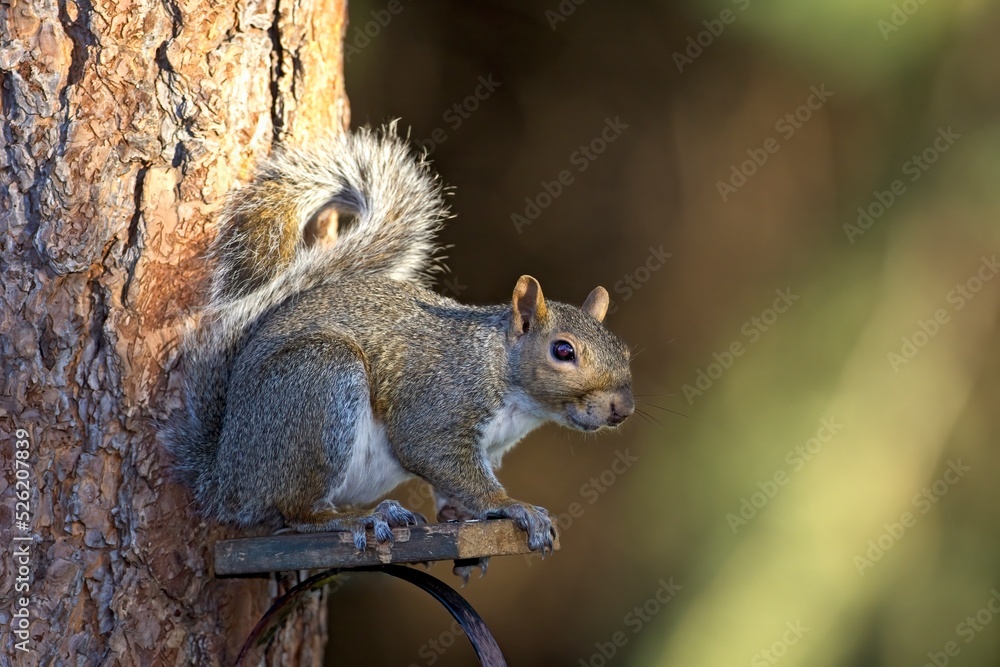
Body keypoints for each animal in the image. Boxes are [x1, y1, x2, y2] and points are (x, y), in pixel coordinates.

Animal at [165, 124, 634, 565]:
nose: (622, 409)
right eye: (563, 351)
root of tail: (227, 476)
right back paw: (359, 519)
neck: (501, 371)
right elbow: (435, 455)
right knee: (299, 512)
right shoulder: (440, 407)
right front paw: (511, 506)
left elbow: (451, 492)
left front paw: (461, 518)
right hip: (319, 385)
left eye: (625, 351)